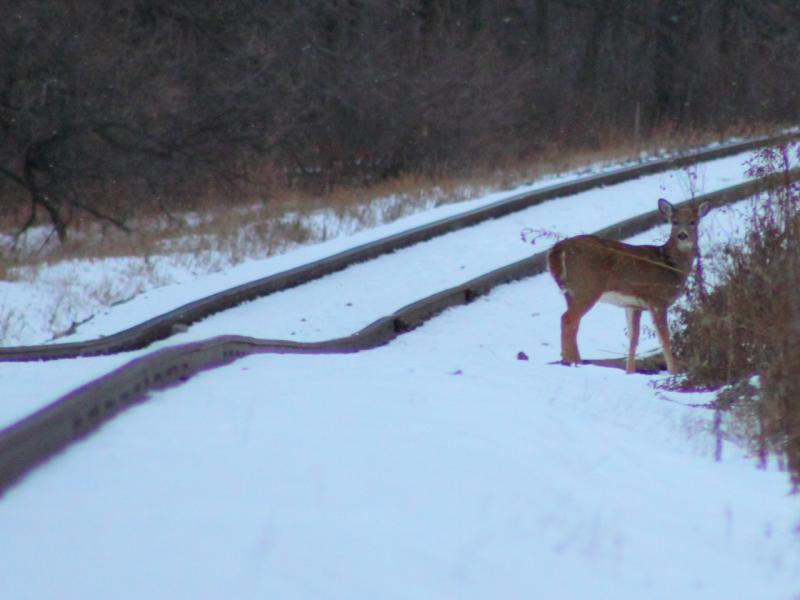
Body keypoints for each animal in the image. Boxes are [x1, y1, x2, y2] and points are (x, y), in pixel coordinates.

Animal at [548, 199, 708, 372]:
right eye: (675, 221)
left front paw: (629, 371)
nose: (682, 235)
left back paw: (573, 361)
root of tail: (558, 249)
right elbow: (664, 338)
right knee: (567, 319)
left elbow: (633, 338)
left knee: (574, 323)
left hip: (570, 292)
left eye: (693, 222)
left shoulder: (633, 305)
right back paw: (571, 363)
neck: (670, 266)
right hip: (587, 287)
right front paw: (673, 371)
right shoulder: (657, 300)